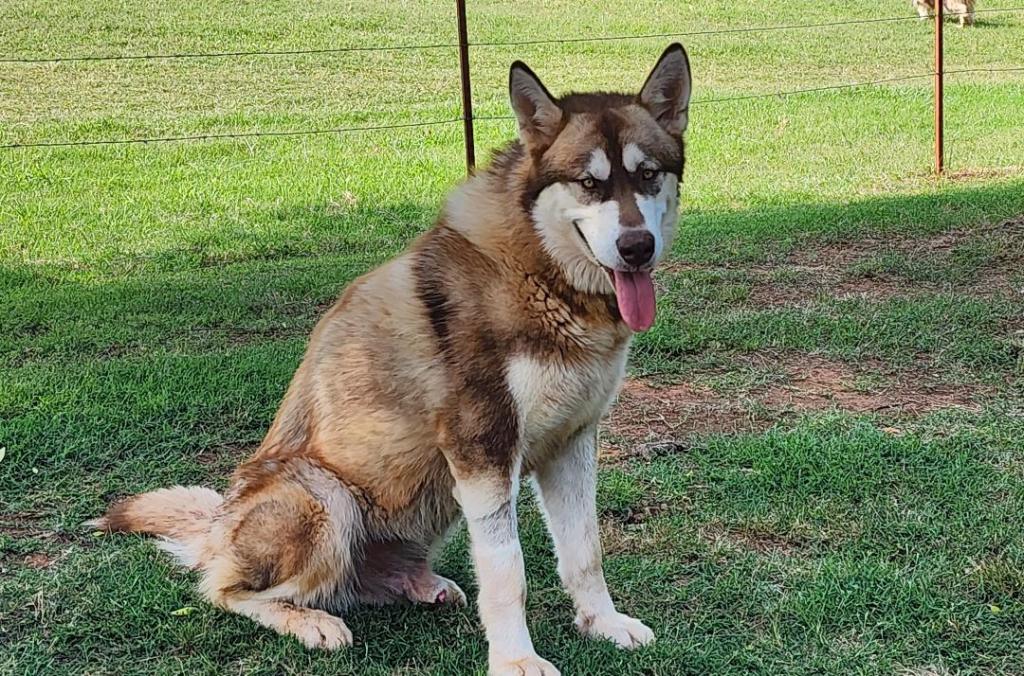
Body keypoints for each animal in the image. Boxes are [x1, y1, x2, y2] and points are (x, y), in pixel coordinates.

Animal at [90, 43, 692, 676]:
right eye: (588, 182)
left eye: (648, 175)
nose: (636, 248)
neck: (543, 275)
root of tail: (218, 525)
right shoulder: (482, 448)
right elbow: (507, 570)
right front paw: (515, 659)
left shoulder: (572, 442)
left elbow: (585, 551)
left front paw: (603, 623)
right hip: (326, 500)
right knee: (227, 589)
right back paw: (311, 622)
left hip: (432, 499)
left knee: (357, 583)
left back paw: (415, 583)